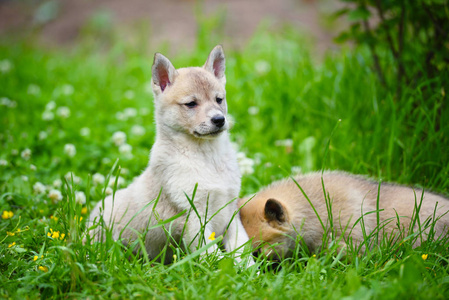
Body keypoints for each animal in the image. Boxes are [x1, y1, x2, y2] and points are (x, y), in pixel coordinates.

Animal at [88, 45, 252, 264]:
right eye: (191, 104)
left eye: (219, 99)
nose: (219, 119)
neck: (207, 157)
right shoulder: (194, 218)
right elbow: (214, 257)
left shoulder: (230, 213)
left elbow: (242, 250)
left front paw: (253, 271)